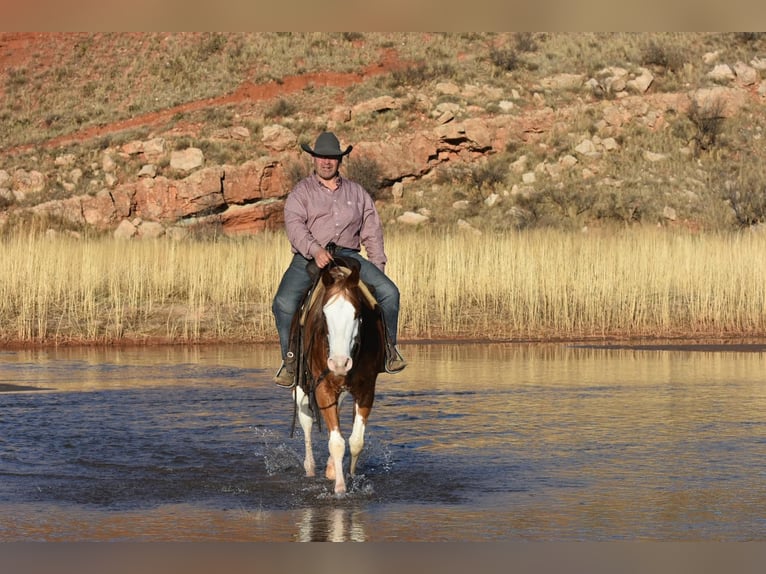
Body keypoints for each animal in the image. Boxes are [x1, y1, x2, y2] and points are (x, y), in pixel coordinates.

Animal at [296, 256, 390, 496]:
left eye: (356, 314)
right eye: (324, 314)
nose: (339, 363)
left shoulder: (366, 389)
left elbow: (356, 441)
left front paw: (350, 476)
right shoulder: (322, 388)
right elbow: (336, 443)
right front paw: (339, 488)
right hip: (301, 385)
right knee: (306, 419)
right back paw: (310, 467)